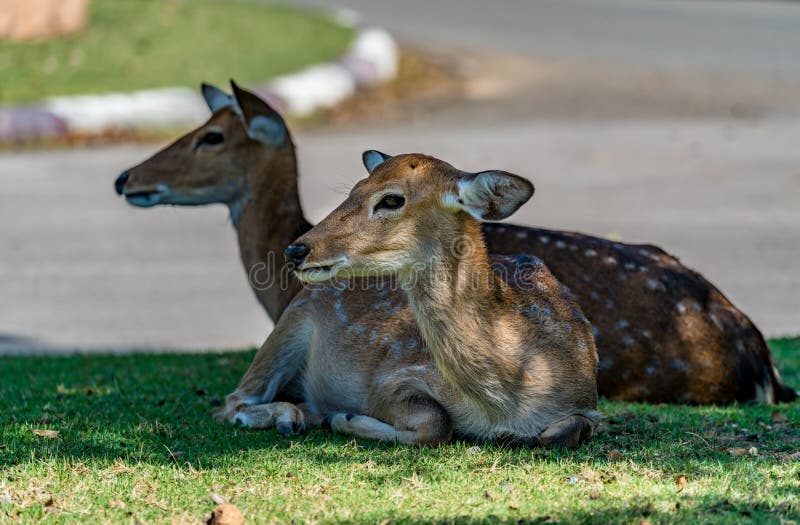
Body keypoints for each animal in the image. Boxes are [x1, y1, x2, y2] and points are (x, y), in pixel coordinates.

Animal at [285, 154, 599, 447]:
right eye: (354, 189)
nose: (296, 250)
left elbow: (562, 433)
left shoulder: (589, 403)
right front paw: (343, 417)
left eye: (391, 199)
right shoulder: (390, 379)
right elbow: (437, 423)